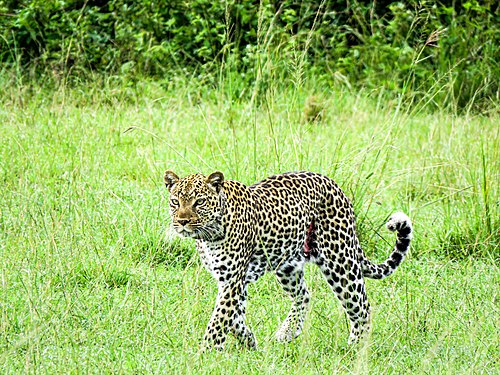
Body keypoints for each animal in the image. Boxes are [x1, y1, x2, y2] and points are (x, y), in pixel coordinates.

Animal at [164, 170, 414, 350]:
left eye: (199, 202)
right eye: (175, 202)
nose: (182, 221)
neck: (209, 235)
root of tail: (335, 186)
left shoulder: (233, 279)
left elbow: (219, 319)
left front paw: (207, 352)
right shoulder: (231, 279)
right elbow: (233, 317)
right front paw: (249, 340)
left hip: (340, 261)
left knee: (362, 307)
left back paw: (355, 347)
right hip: (287, 266)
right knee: (304, 294)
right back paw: (288, 331)